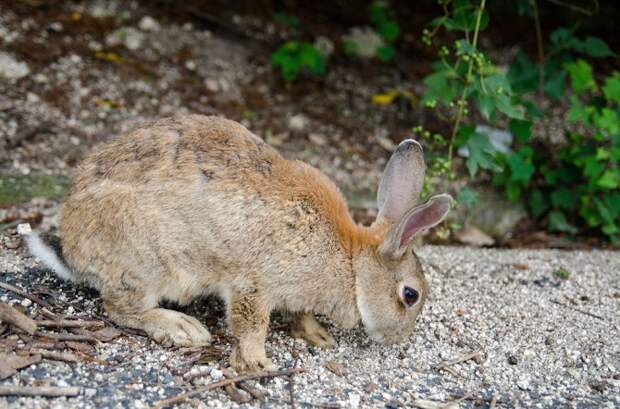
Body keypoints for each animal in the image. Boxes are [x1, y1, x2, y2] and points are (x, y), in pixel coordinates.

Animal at [25, 113, 450, 372]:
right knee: (120, 307)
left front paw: (317, 335)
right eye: (410, 295)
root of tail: (72, 248)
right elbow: (251, 324)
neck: (350, 263)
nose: (398, 339)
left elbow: (299, 313)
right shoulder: (255, 283)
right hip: (147, 261)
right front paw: (258, 363)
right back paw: (181, 327)